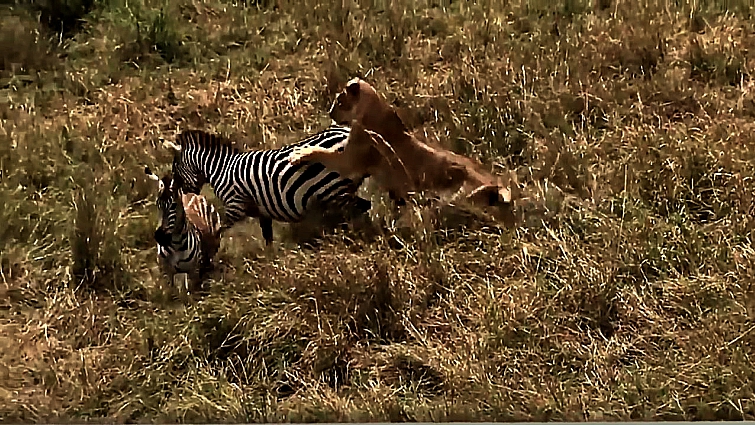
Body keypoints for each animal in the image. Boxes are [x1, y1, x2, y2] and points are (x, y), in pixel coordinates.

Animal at [145, 166, 222, 297]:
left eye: (174, 205)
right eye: (157, 204)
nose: (160, 237)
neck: (176, 244)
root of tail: (192, 194)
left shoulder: (193, 272)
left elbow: (190, 297)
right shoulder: (166, 273)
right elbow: (171, 296)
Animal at [161, 126, 372, 246]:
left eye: (175, 169)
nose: (187, 197)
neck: (221, 169)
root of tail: (346, 131)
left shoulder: (235, 206)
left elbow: (218, 229)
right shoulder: (262, 211)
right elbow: (267, 237)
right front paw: (270, 264)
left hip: (335, 190)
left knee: (359, 211)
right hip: (339, 190)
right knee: (364, 208)